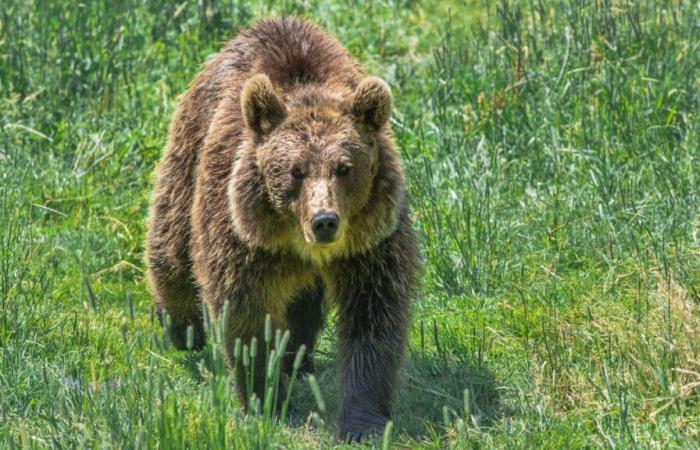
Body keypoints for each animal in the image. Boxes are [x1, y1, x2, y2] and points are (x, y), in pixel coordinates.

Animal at [145, 16, 418, 440]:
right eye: (295, 171)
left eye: (344, 168)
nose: (324, 221)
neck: (299, 245)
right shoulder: (243, 240)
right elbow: (247, 317)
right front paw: (263, 397)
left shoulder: (370, 246)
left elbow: (373, 320)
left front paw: (363, 420)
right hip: (190, 151)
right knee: (171, 241)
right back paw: (183, 328)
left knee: (304, 305)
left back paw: (297, 359)